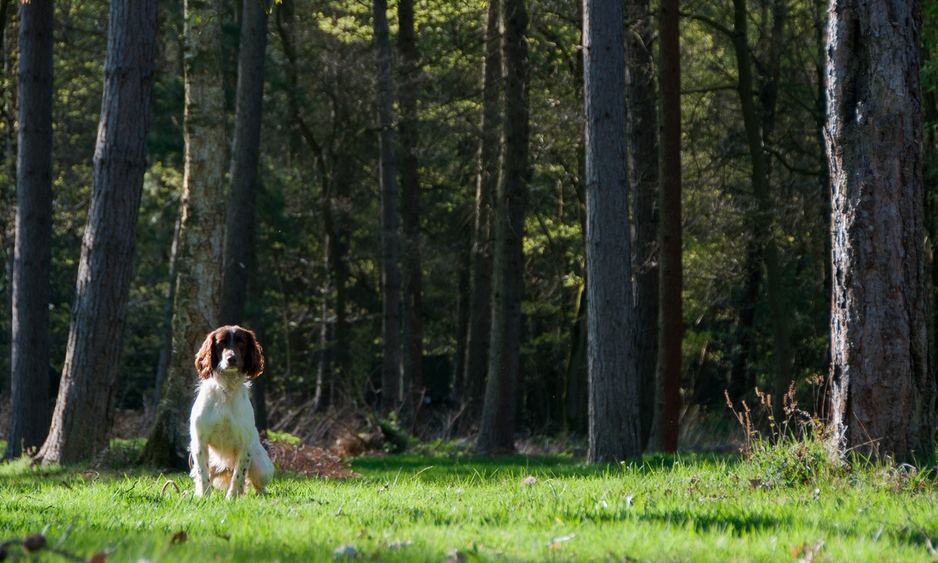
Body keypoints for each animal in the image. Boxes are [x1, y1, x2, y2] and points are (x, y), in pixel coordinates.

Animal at [188, 324, 272, 500]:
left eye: (241, 343)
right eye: (221, 343)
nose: (231, 358)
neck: (226, 389)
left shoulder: (244, 445)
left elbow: (238, 476)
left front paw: (231, 498)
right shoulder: (199, 441)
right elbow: (203, 473)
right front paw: (204, 497)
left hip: (261, 467)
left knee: (257, 485)